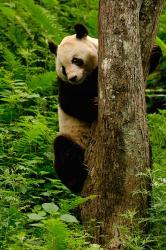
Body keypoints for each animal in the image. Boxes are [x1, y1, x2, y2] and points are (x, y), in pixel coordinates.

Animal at [48, 24, 161, 194]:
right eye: (63, 68)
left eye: (76, 60)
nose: (73, 78)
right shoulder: (65, 85)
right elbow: (70, 103)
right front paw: (94, 106)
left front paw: (155, 51)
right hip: (73, 136)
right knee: (63, 149)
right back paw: (77, 179)